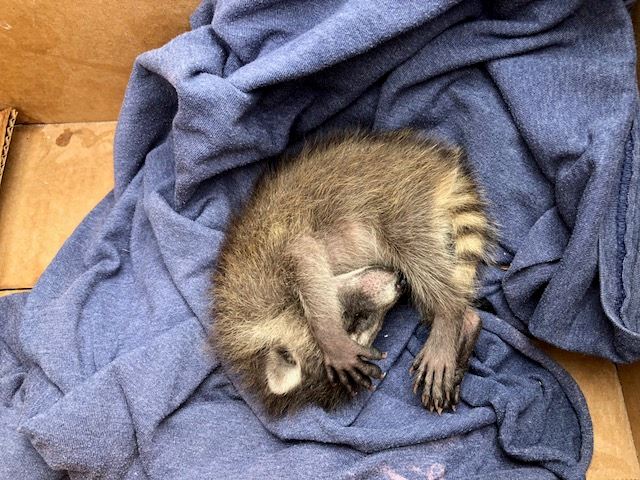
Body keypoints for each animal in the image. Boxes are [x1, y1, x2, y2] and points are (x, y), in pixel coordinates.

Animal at [211, 130, 493, 416]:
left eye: (351, 320)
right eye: (361, 321)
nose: (399, 283)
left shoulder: (274, 259)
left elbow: (303, 254)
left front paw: (330, 337)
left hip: (400, 203)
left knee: (425, 265)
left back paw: (448, 315)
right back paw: (466, 325)